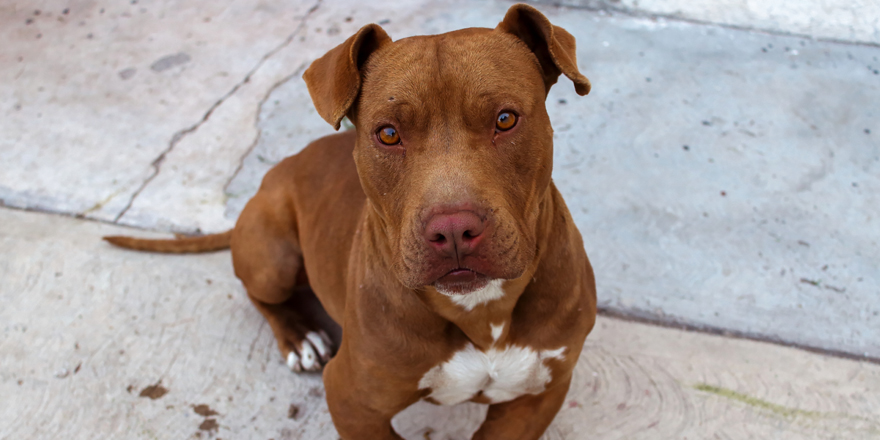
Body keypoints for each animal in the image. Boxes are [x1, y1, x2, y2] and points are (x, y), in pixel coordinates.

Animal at [105, 4, 600, 440]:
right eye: (388, 134)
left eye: (506, 118)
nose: (453, 230)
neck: (482, 311)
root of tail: (278, 171)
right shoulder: (351, 399)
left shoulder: (539, 395)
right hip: (272, 255)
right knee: (259, 292)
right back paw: (300, 337)